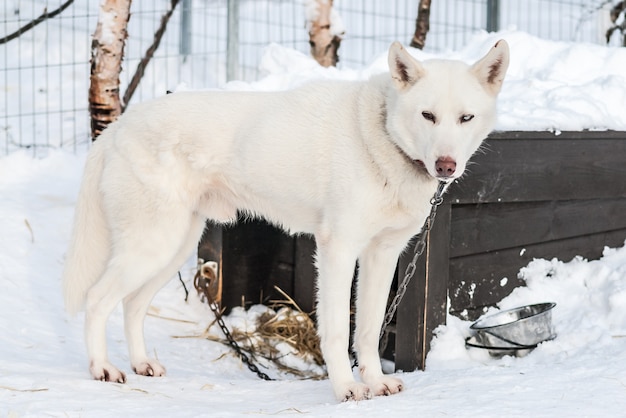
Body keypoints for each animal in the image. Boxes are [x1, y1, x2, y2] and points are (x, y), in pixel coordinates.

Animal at [63, 40, 508, 402]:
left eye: (465, 118)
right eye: (427, 115)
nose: (446, 166)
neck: (381, 136)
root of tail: (117, 126)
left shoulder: (382, 256)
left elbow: (367, 331)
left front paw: (376, 382)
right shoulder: (337, 251)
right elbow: (337, 331)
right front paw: (346, 389)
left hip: (172, 247)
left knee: (132, 305)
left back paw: (141, 364)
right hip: (152, 245)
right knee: (98, 300)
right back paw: (103, 368)